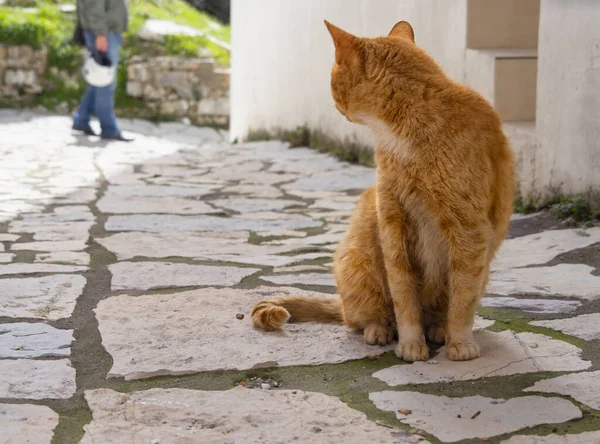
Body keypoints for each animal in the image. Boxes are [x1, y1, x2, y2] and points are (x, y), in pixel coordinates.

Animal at [251, 19, 512, 362]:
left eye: (333, 78)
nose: (334, 102)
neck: (407, 133)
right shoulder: (392, 222)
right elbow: (403, 296)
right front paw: (411, 345)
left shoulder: (469, 231)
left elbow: (463, 297)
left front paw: (459, 342)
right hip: (360, 259)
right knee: (358, 318)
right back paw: (380, 330)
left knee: (439, 309)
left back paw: (438, 329)